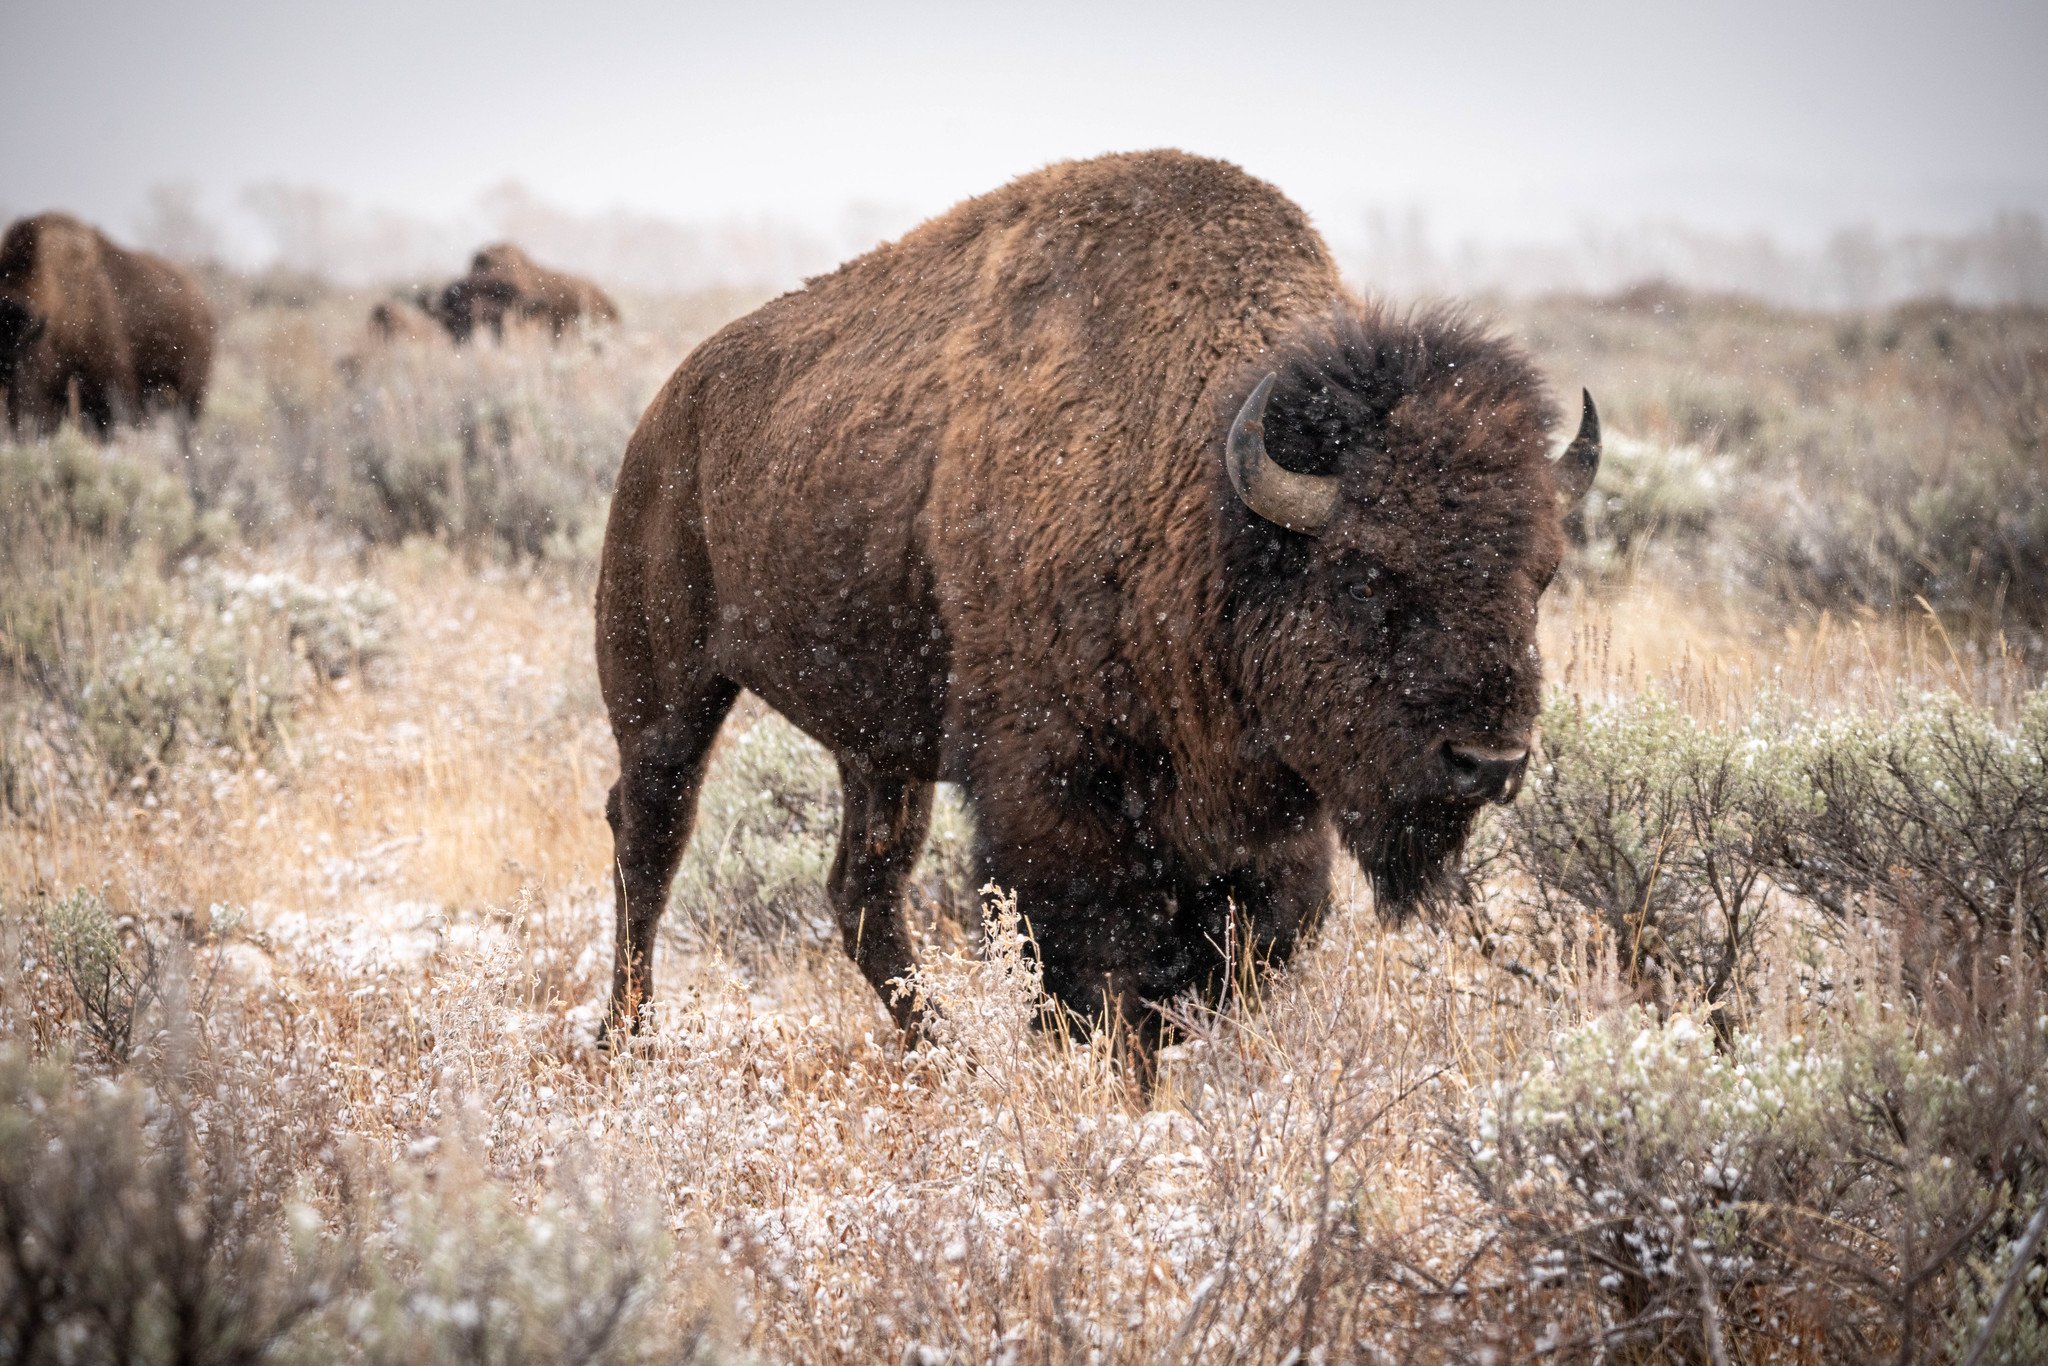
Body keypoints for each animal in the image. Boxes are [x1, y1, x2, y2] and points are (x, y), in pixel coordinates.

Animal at [594, 150, 1599, 1047]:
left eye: (1541, 577)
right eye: (1362, 574)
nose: (1488, 761)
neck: (1206, 501)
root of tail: (667, 414)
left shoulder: (1258, 816)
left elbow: (1251, 943)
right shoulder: (1053, 786)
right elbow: (1089, 958)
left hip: (879, 745)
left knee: (862, 890)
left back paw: (943, 1051)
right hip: (665, 690)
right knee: (650, 838)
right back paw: (626, 1038)